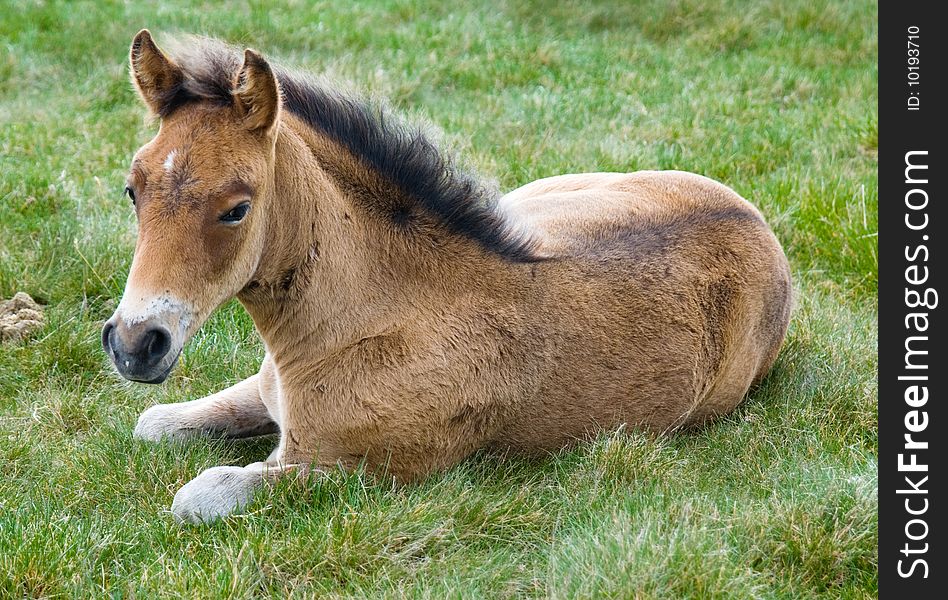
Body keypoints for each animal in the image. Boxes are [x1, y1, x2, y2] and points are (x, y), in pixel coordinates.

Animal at [105, 31, 792, 524]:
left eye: (237, 209)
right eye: (133, 190)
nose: (137, 344)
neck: (378, 317)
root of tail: (754, 219)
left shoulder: (364, 469)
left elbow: (202, 494)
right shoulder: (268, 392)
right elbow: (155, 424)